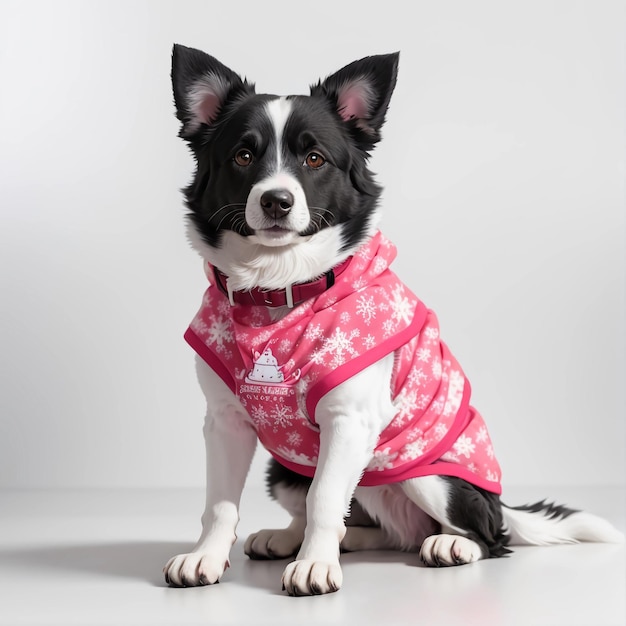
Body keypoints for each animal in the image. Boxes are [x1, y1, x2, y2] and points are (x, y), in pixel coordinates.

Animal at [163, 45, 620, 596]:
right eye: (243, 156)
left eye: (314, 158)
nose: (276, 200)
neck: (280, 290)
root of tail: (498, 502)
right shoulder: (226, 421)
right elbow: (220, 503)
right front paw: (206, 557)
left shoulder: (351, 419)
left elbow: (324, 500)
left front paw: (315, 566)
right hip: (285, 470)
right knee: (366, 524)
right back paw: (295, 538)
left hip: (429, 474)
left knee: (490, 537)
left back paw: (451, 544)